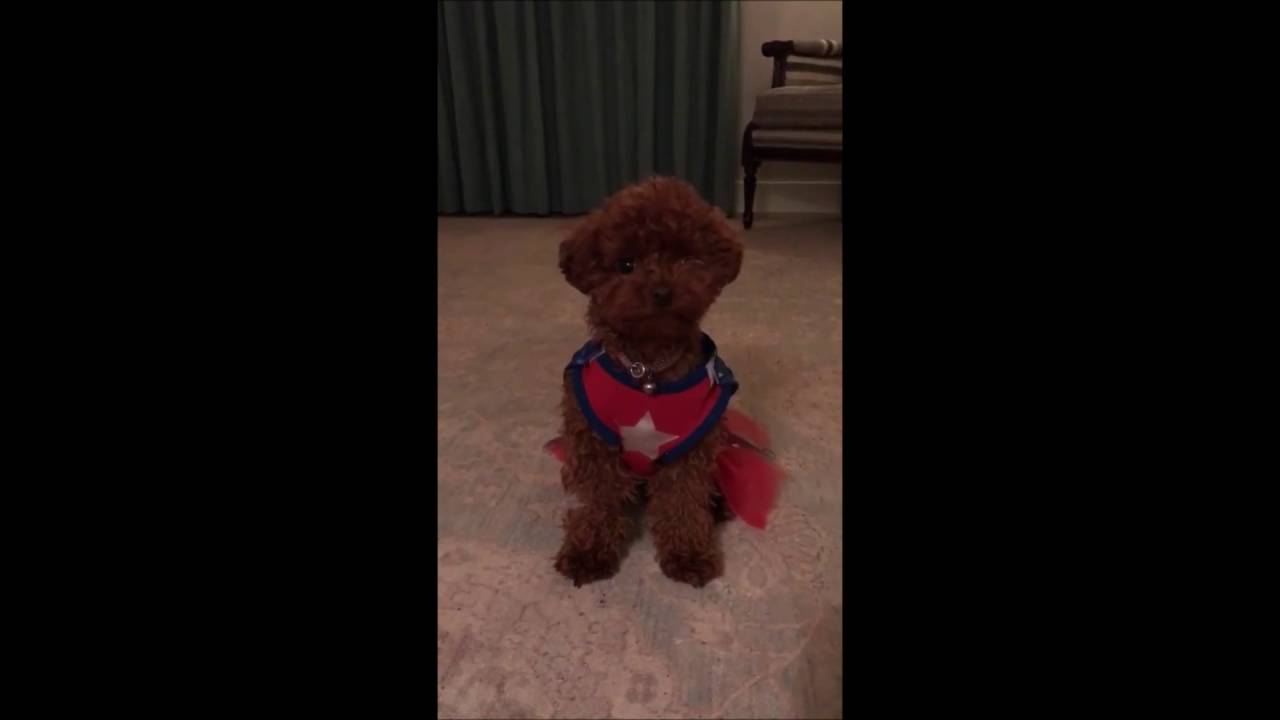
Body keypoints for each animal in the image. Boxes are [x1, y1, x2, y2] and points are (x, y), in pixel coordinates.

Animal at [552, 177, 747, 588]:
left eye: (689, 259)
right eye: (625, 264)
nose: (661, 292)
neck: (648, 372)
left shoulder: (689, 450)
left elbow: (683, 503)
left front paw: (688, 554)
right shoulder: (595, 443)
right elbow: (599, 501)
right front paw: (589, 551)